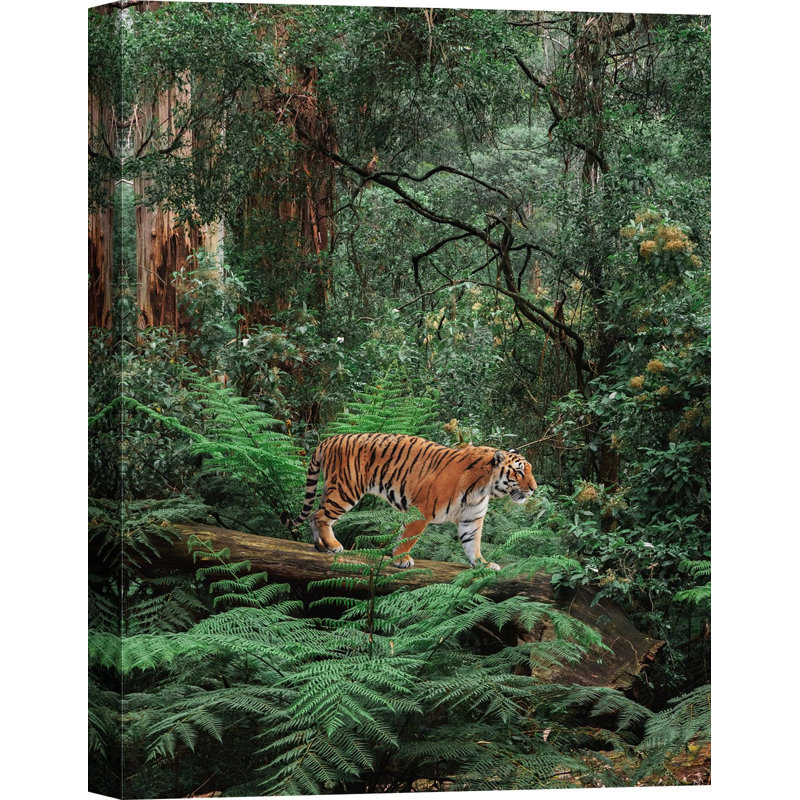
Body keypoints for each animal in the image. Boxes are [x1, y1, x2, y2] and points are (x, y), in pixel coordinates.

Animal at [280, 432, 537, 570]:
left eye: (530, 470)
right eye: (519, 472)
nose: (534, 489)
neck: (484, 488)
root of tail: (330, 439)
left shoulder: (471, 520)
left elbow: (473, 545)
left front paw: (483, 564)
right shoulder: (421, 511)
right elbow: (409, 538)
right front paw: (401, 559)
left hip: (331, 488)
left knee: (314, 515)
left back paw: (321, 547)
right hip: (346, 490)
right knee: (320, 516)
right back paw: (333, 545)